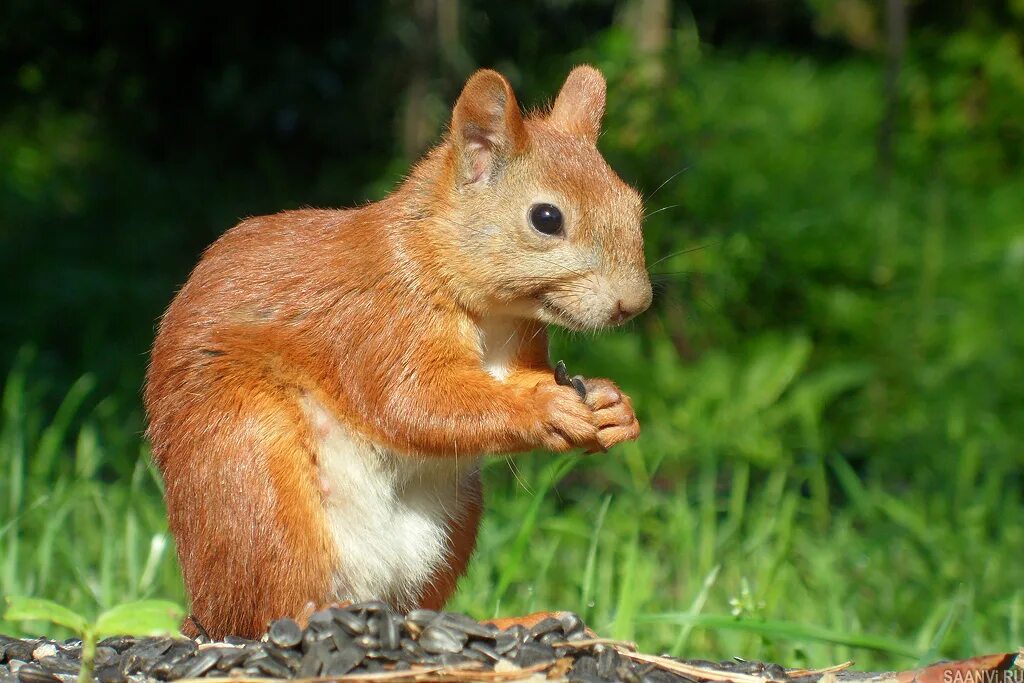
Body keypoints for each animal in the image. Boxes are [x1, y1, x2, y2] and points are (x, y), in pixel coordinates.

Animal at [144, 65, 651, 643]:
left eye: (632, 203)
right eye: (546, 218)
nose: (635, 303)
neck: (492, 313)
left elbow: (520, 382)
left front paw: (612, 407)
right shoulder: (382, 319)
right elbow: (410, 402)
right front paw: (544, 410)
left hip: (452, 520)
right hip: (252, 477)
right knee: (268, 611)